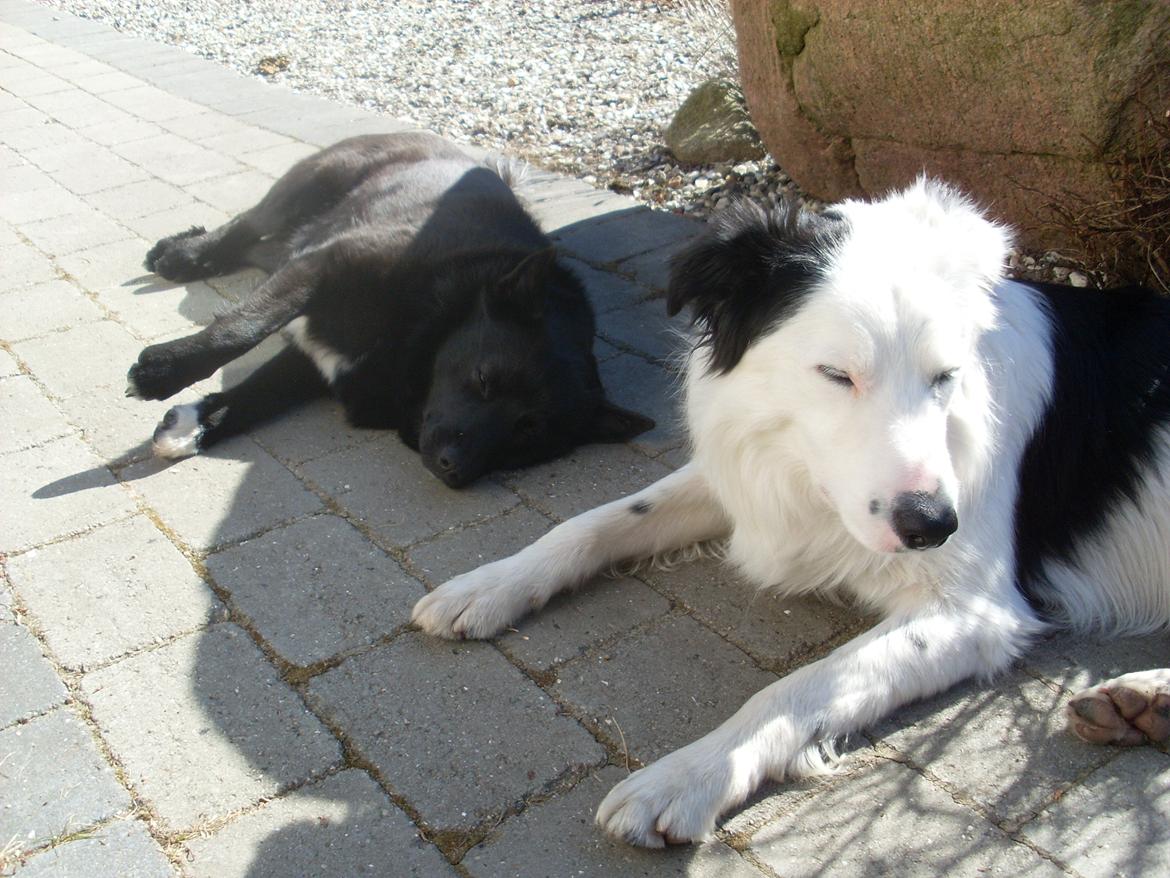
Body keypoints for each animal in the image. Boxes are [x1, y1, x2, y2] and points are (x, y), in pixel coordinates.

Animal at [134, 132, 659, 489]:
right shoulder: (321, 266)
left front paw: (196, 425)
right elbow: (242, 327)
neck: (425, 325)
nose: (453, 468)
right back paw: (185, 255)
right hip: (311, 184)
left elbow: (258, 395)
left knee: (257, 248)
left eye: (529, 429)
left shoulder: (318, 356)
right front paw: (162, 370)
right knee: (247, 225)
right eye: (484, 379)